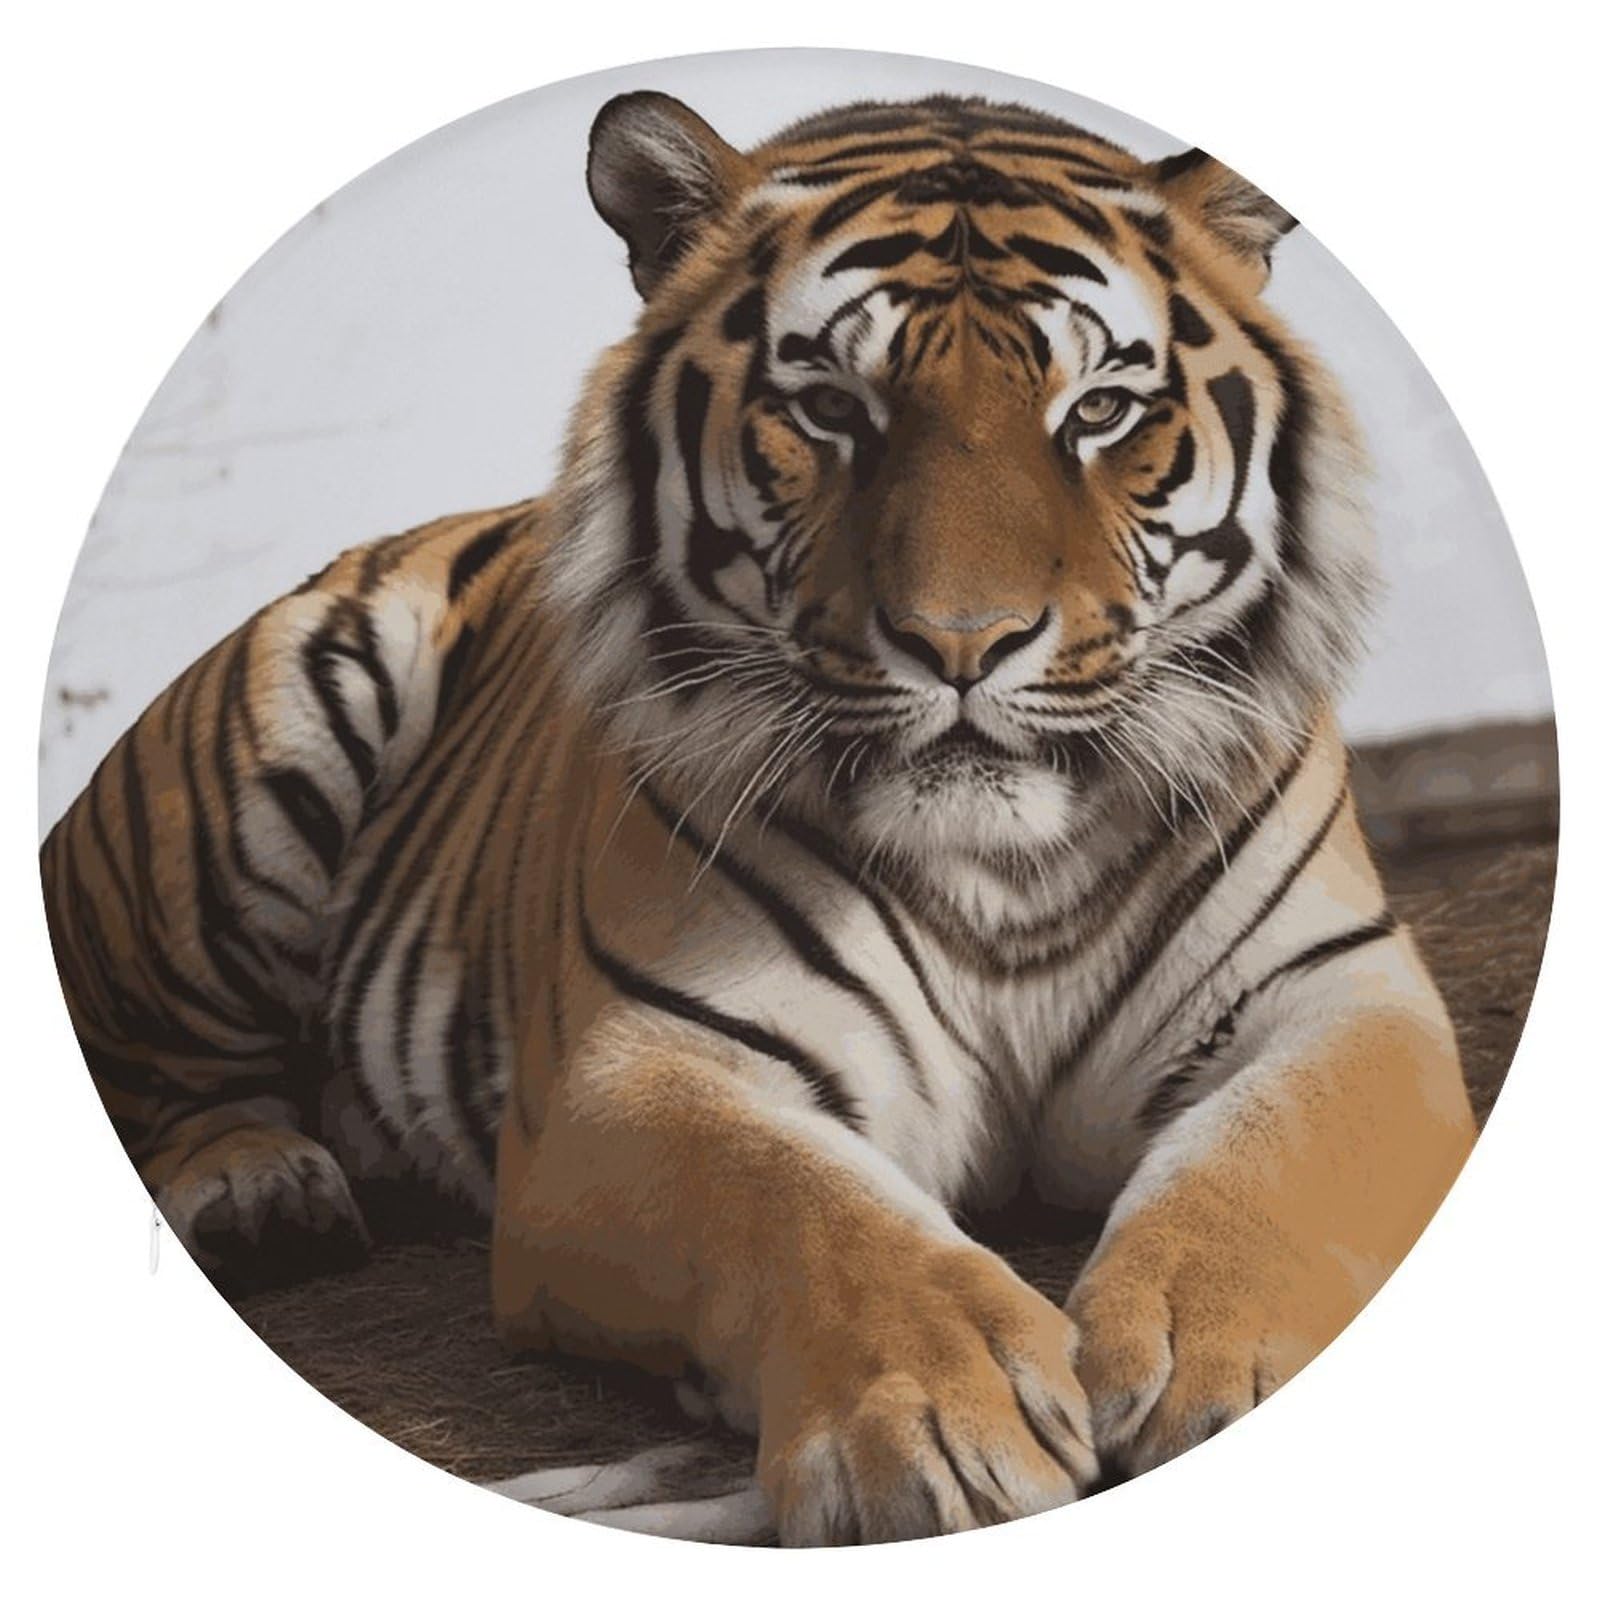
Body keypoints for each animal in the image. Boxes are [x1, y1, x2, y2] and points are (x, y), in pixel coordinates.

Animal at [41, 89, 1478, 1545]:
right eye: (832, 408)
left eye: (1102, 410)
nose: (965, 643)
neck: (1004, 868)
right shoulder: (644, 1066)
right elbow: (800, 1208)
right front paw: (939, 1422)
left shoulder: (1338, 996)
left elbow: (1274, 1160)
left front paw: (1220, 1367)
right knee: (165, 1067)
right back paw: (256, 1191)